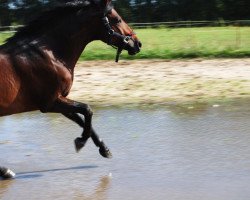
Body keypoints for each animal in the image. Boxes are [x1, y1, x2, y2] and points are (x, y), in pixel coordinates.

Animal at [0, 0, 141, 179]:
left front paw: (104, 149)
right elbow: (87, 110)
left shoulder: (61, 101)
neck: (49, 55)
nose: (137, 44)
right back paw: (5, 171)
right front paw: (80, 142)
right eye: (117, 19)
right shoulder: (50, 103)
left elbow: (82, 119)